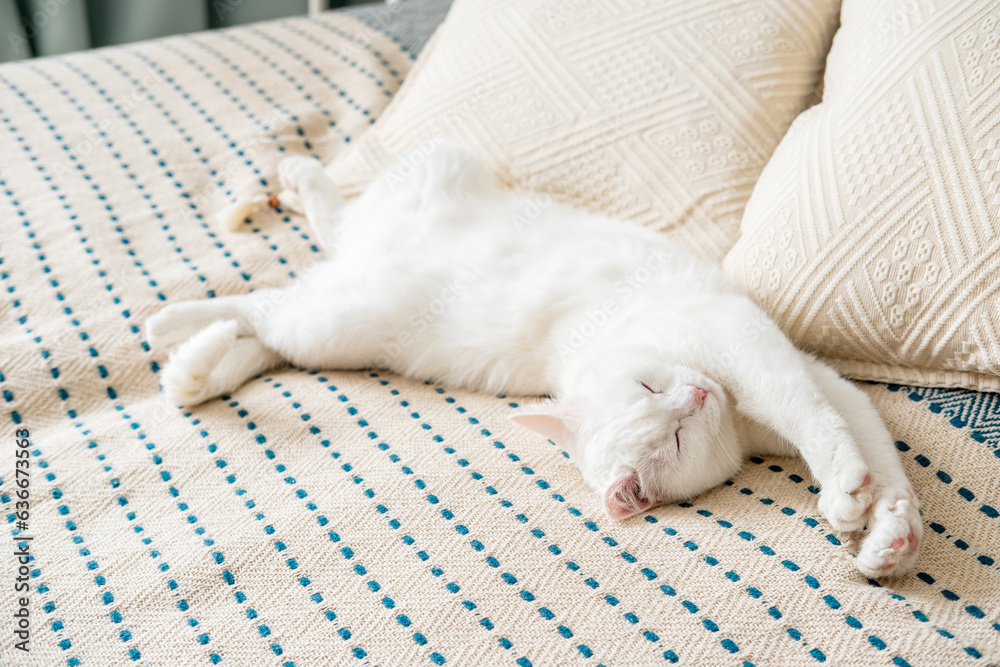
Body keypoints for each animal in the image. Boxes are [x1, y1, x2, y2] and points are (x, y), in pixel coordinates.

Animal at [146, 142, 920, 580]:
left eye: (653, 387)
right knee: (266, 302)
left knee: (303, 270)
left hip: (401, 216)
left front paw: (889, 536)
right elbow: (826, 424)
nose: (698, 397)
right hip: (332, 325)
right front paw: (850, 495)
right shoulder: (753, 356)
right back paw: (168, 324)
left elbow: (861, 437)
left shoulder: (778, 359)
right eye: (674, 435)